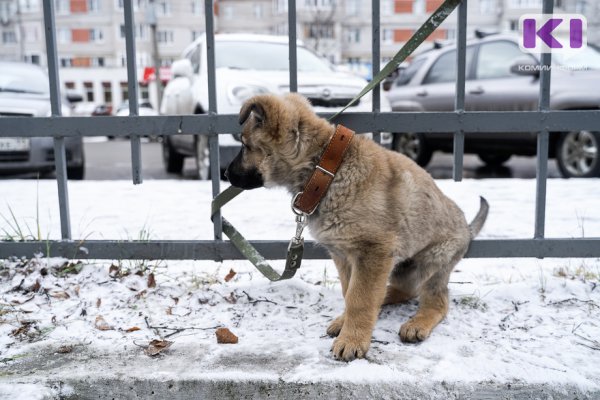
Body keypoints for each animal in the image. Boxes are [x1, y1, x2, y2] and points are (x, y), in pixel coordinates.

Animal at [225, 94, 488, 362]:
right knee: (402, 290)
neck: (326, 171)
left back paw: (417, 323)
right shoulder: (344, 255)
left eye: (245, 145)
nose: (225, 174)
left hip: (432, 260)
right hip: (401, 267)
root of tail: (468, 230)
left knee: (437, 301)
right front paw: (347, 324)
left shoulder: (373, 252)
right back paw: (383, 300)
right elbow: (349, 292)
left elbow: (359, 298)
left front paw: (352, 340)